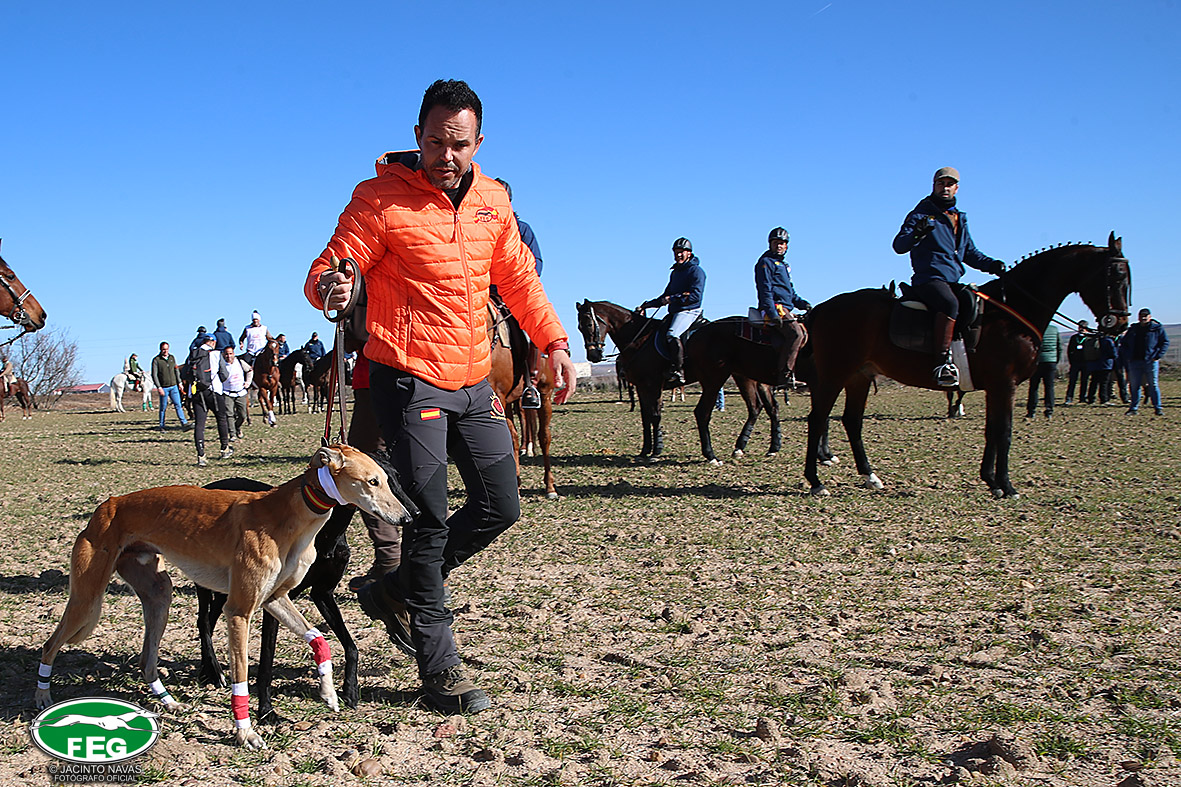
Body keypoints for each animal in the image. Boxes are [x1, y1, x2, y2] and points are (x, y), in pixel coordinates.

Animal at [34, 445, 415, 750]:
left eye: (387, 477)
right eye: (373, 481)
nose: (408, 517)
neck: (289, 515)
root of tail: (108, 504)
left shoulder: (276, 599)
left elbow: (320, 638)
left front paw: (329, 692)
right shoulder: (240, 610)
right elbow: (243, 677)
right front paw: (246, 733)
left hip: (159, 594)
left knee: (147, 659)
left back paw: (168, 702)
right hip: (87, 600)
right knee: (50, 644)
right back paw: (42, 698)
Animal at [576, 300, 789, 463]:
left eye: (589, 324)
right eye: (579, 327)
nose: (594, 356)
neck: (639, 341)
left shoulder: (653, 385)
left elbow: (655, 416)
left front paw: (656, 451)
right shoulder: (642, 387)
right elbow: (645, 417)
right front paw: (645, 451)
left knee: (756, 407)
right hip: (748, 377)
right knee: (764, 407)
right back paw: (765, 447)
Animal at [804, 233, 1131, 499]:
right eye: (1115, 275)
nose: (1119, 324)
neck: (1012, 312)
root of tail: (824, 307)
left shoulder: (996, 387)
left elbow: (992, 430)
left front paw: (991, 481)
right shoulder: (1005, 384)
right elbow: (1004, 431)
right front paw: (1006, 486)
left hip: (859, 376)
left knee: (851, 421)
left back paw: (870, 476)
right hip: (835, 374)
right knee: (818, 419)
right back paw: (815, 481)